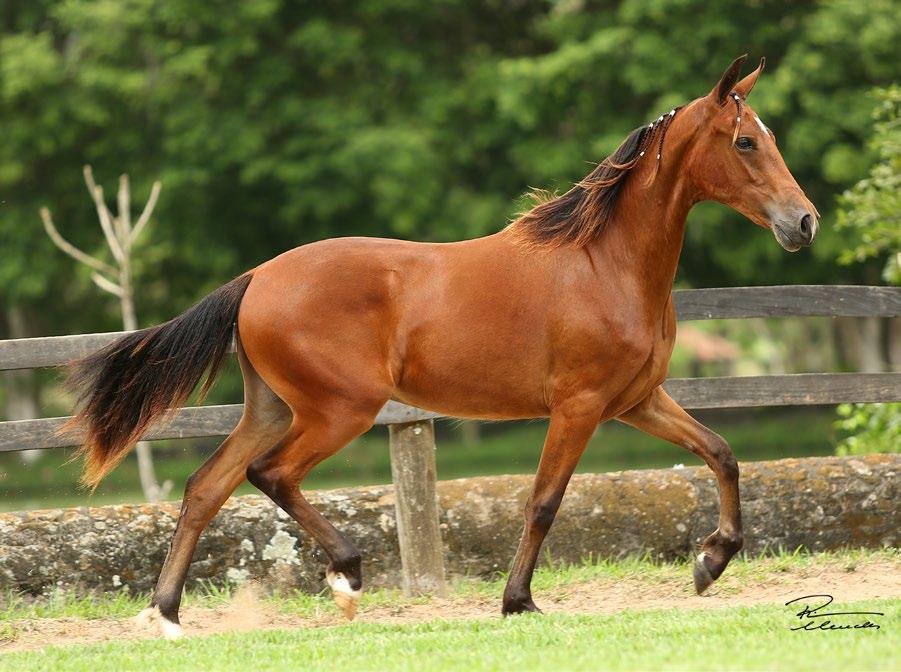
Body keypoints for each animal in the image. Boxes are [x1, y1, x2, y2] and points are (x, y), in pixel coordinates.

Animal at [68, 55, 816, 636]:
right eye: (745, 143)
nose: (803, 222)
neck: (605, 263)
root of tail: (256, 278)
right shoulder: (578, 407)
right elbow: (543, 502)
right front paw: (518, 602)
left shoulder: (637, 401)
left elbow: (721, 454)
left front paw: (709, 562)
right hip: (339, 411)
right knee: (270, 475)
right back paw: (347, 575)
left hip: (273, 408)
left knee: (206, 487)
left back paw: (168, 614)